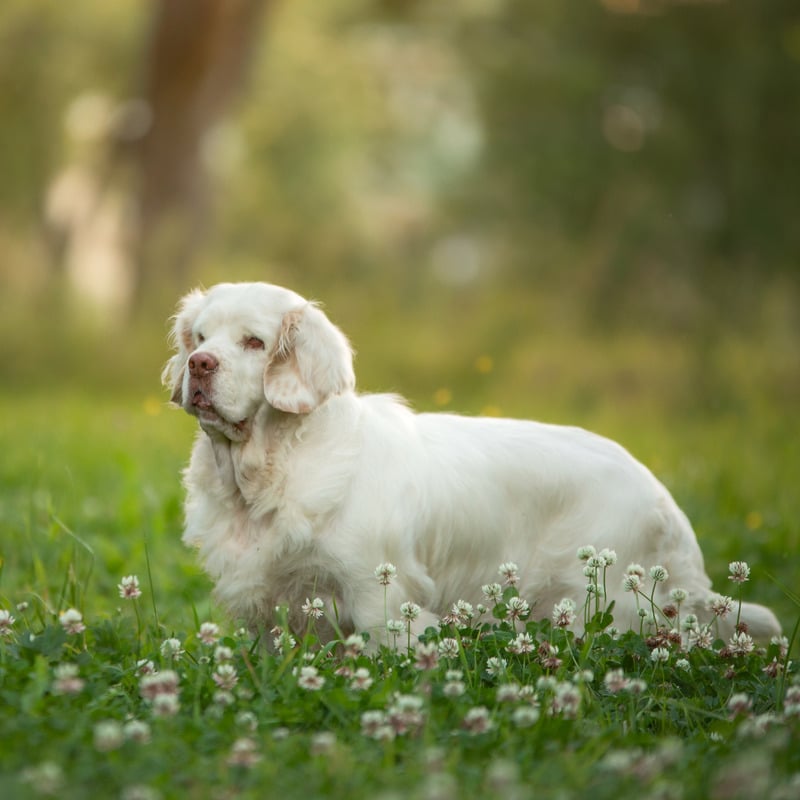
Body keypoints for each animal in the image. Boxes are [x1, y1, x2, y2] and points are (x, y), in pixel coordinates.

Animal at [164, 282, 780, 644]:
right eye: (200, 336)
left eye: (253, 341)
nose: (199, 364)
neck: (266, 472)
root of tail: (665, 501)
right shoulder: (272, 607)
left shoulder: (379, 594)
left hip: (604, 603)